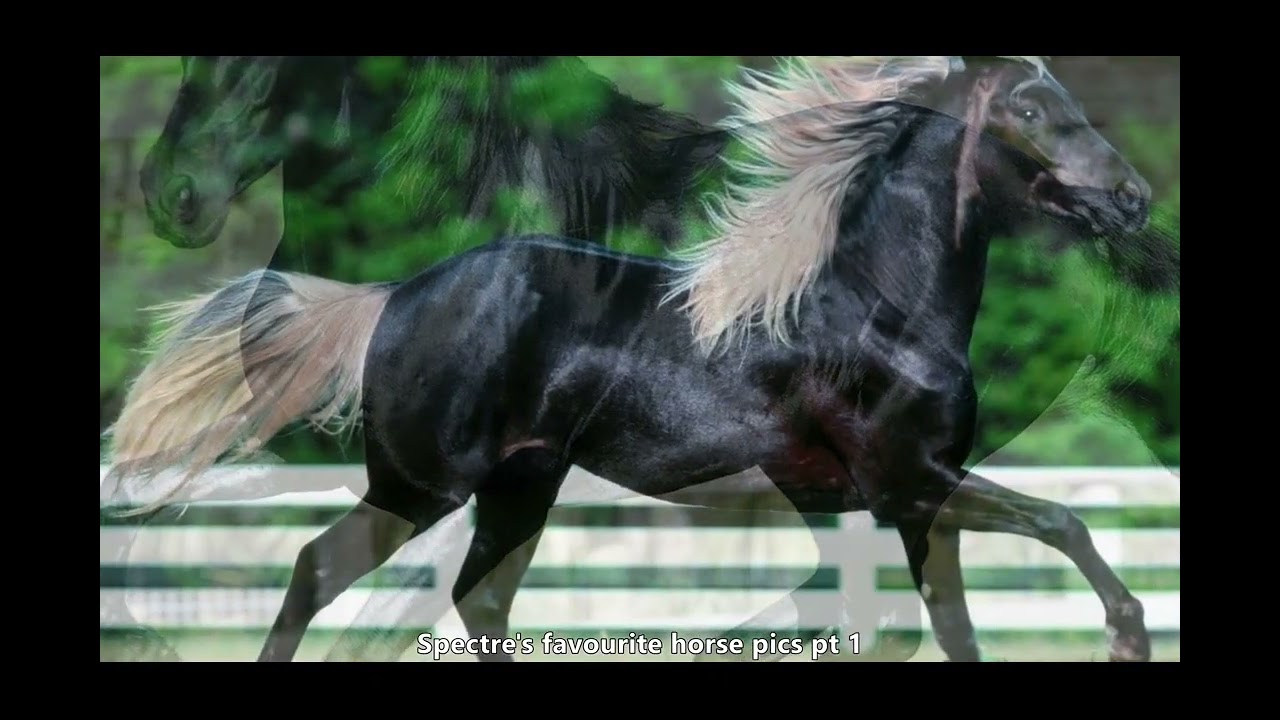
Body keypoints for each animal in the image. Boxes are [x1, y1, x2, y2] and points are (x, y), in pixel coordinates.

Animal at [103, 55, 1176, 662]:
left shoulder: (902, 503)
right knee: (320, 570)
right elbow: (1060, 523)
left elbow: (959, 619)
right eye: (1031, 110)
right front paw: (1128, 636)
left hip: (519, 488)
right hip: (424, 486)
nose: (1132, 201)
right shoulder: (911, 484)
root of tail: (392, 297)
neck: (877, 306)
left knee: (474, 599)